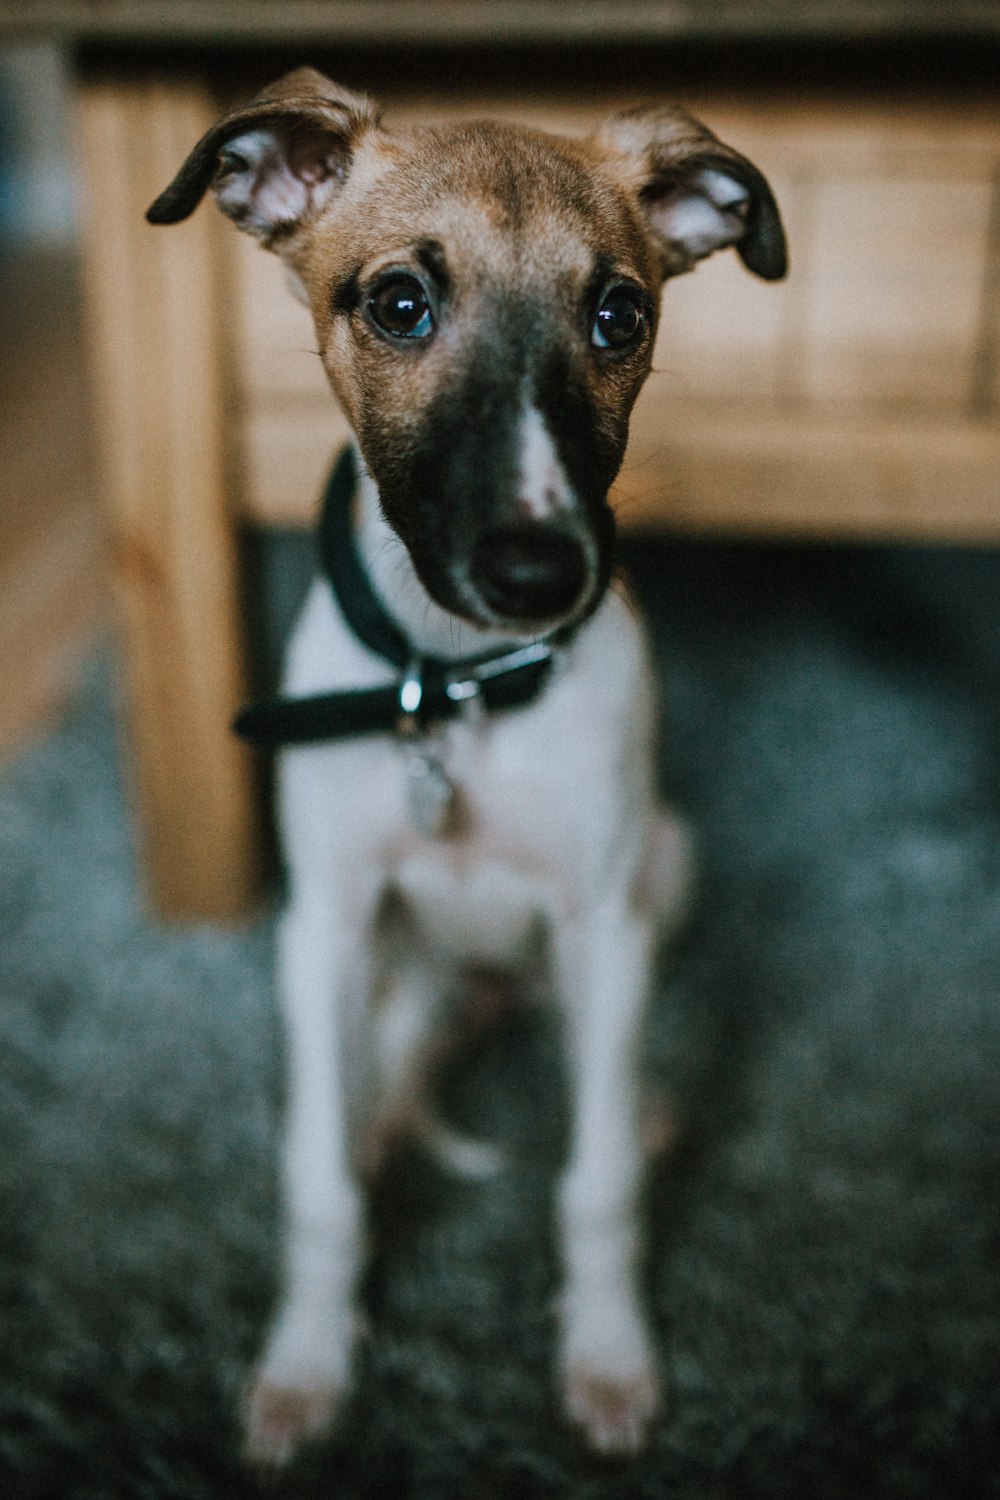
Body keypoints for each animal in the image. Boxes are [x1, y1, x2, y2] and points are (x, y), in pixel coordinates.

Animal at [150, 70, 791, 1464]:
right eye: (400, 303)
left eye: (619, 313)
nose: (540, 575)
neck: (451, 694)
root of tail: (490, 994)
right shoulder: (324, 926)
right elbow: (317, 1181)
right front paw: (306, 1367)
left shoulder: (602, 920)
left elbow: (592, 1182)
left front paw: (606, 1358)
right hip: (399, 964)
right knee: (381, 1073)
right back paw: (385, 1112)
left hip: (660, 874)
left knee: (604, 1081)